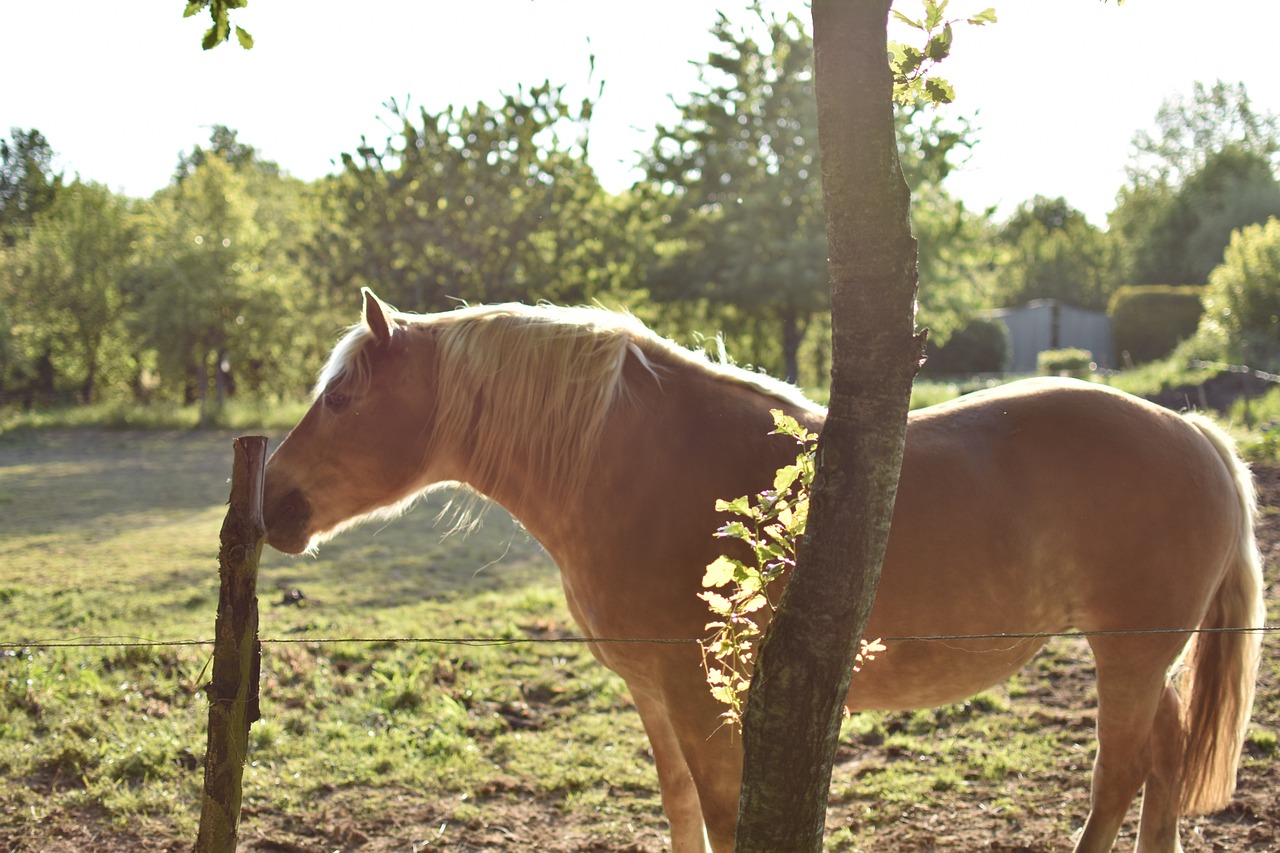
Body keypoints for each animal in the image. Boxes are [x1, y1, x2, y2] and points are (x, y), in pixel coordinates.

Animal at [259, 286, 1259, 850]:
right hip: (1148, 660)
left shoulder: (705, 696)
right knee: (1166, 759)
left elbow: (724, 810)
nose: (270, 502)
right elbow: (681, 810)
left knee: (1121, 774)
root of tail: (1198, 434)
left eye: (340, 399)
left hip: (1128, 656)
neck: (642, 467)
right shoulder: (654, 694)